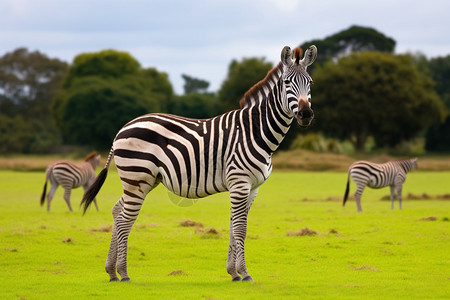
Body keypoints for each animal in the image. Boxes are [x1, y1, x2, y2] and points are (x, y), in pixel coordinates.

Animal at [81, 44, 318, 282]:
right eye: (286, 82)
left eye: (310, 83)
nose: (305, 114)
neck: (255, 131)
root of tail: (122, 128)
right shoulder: (240, 183)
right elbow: (240, 228)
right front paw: (245, 273)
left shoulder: (252, 188)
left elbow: (234, 225)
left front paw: (233, 272)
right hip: (137, 177)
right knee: (124, 219)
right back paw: (123, 273)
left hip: (142, 180)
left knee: (116, 210)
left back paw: (111, 271)